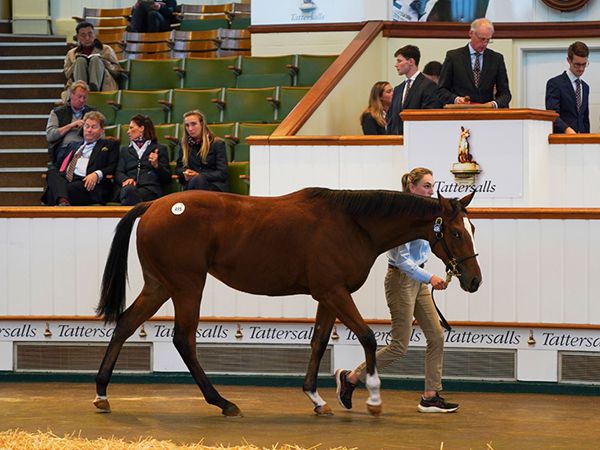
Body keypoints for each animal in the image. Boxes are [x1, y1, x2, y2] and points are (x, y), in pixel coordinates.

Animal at [94, 188, 480, 416]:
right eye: (456, 232)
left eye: (472, 229)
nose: (474, 280)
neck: (353, 224)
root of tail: (155, 205)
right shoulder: (335, 292)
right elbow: (368, 337)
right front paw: (371, 397)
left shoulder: (328, 295)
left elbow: (319, 342)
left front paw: (317, 398)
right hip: (188, 286)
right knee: (183, 340)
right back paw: (223, 402)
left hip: (160, 285)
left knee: (125, 324)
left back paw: (101, 393)